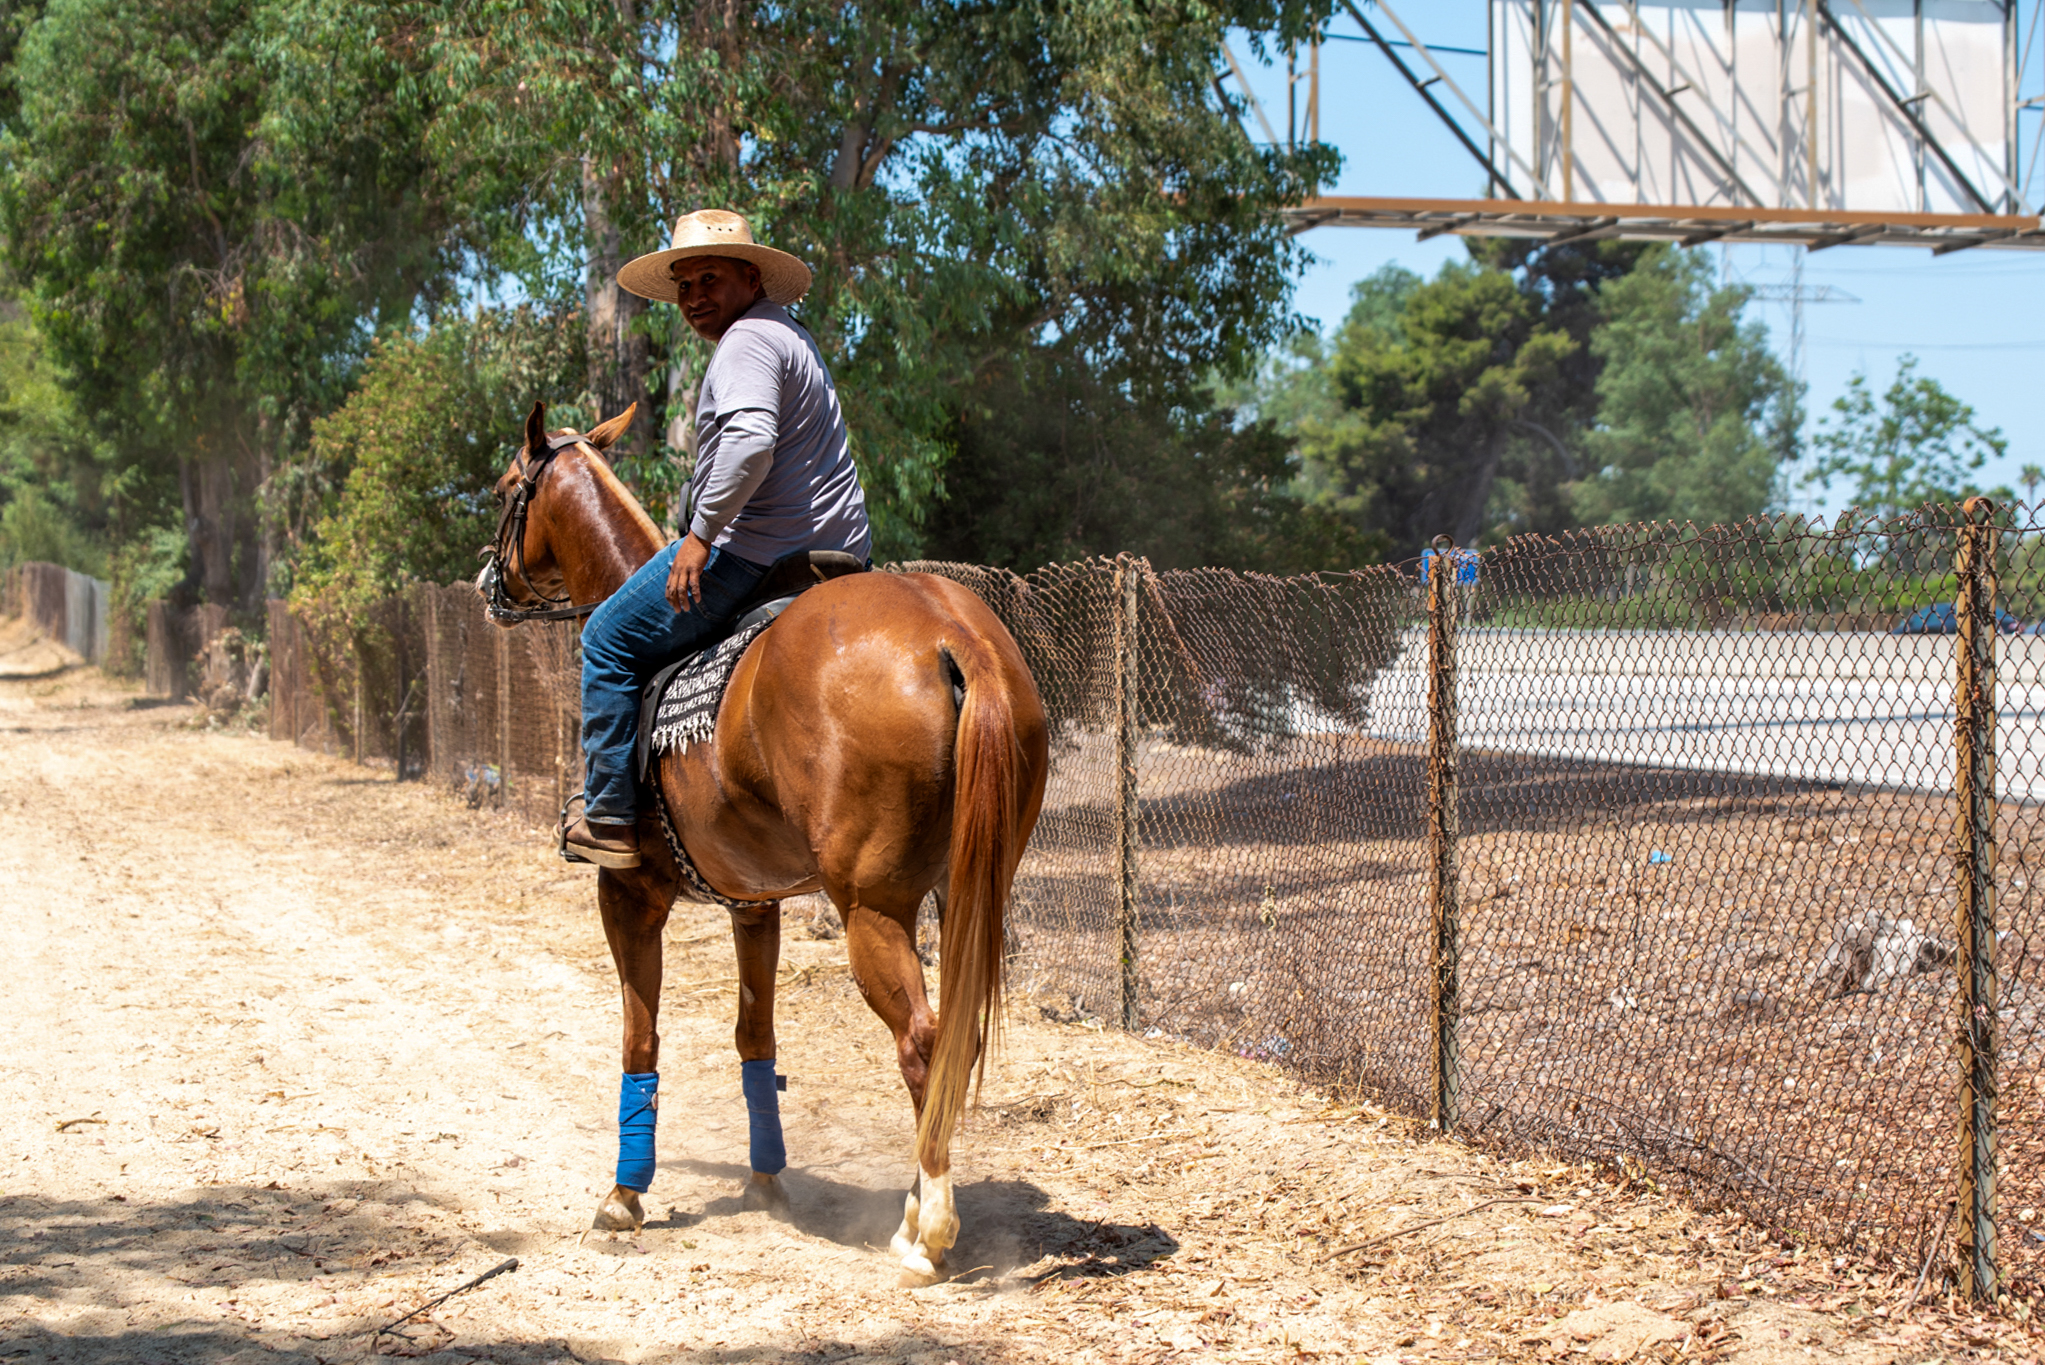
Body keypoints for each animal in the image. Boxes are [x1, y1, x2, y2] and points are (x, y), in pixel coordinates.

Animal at [480, 403, 1047, 1285]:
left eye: (510, 489)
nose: (488, 582)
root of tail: (956, 637)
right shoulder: (755, 906)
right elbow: (755, 1036)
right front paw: (765, 1181)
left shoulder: (628, 894)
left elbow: (639, 1035)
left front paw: (624, 1194)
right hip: (964, 893)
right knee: (954, 1035)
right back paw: (915, 1206)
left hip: (872, 910)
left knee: (922, 1039)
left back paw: (928, 1230)